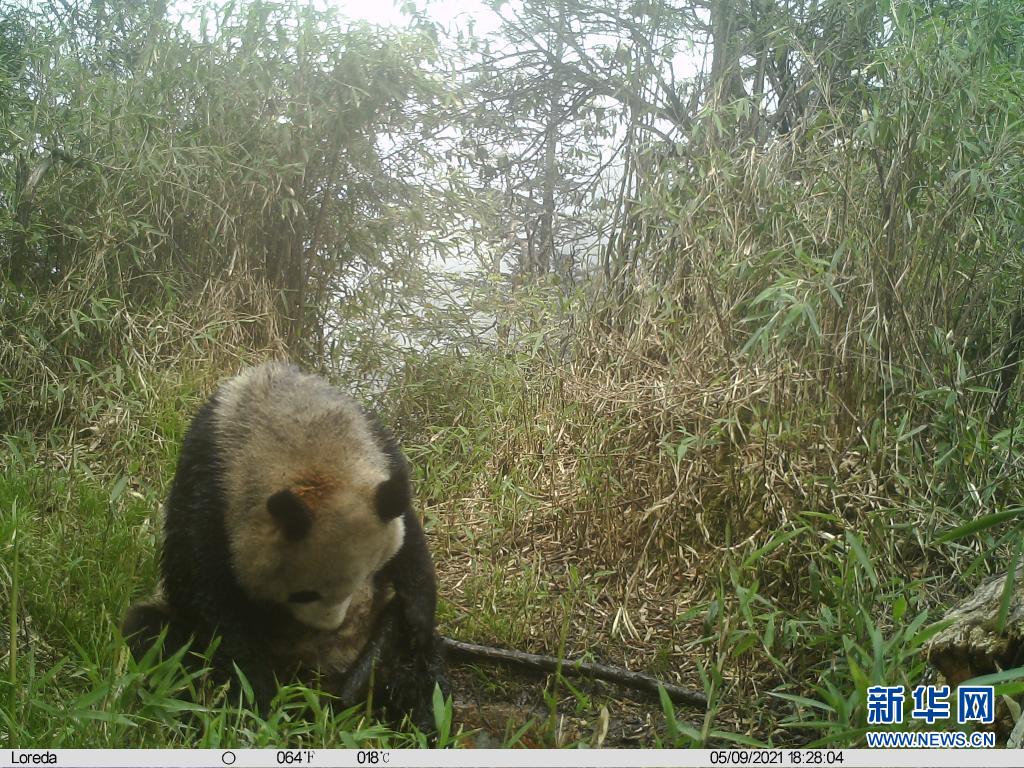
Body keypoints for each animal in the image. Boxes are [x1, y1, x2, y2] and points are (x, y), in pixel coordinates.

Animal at [123, 364, 444, 729]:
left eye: (369, 576)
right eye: (303, 594)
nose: (328, 629)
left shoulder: (380, 451)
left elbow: (410, 541)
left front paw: (416, 616)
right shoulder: (209, 490)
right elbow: (204, 594)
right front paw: (256, 696)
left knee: (416, 670)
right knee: (156, 637)